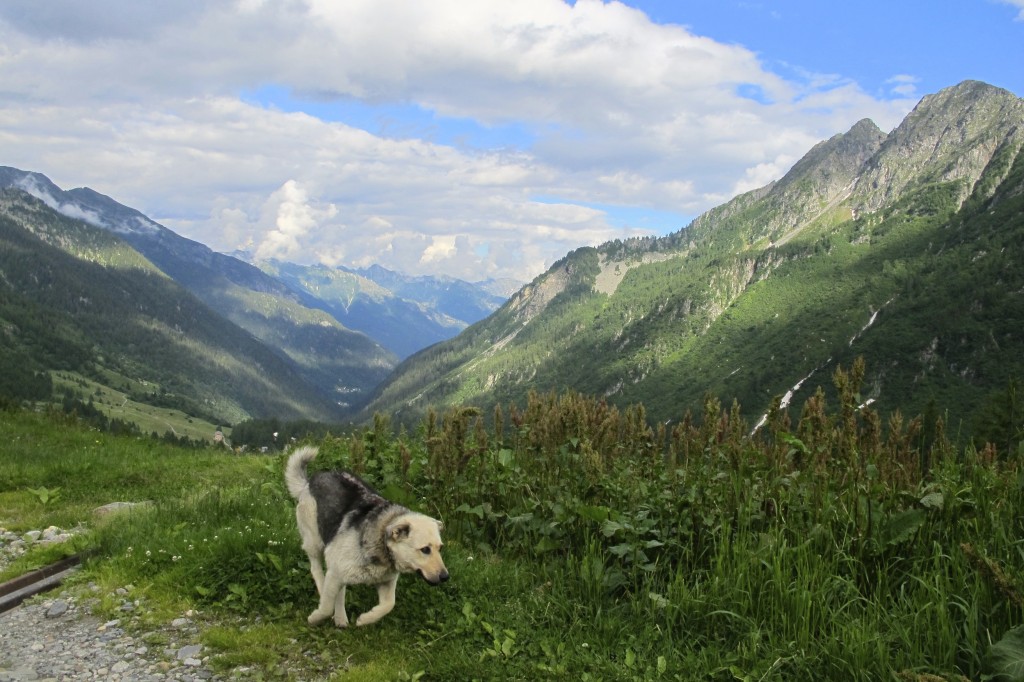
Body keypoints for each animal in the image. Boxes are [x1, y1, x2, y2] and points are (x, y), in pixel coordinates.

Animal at [286, 444, 450, 622]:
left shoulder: (386, 582)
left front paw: (366, 618)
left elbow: (388, 605)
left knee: (340, 591)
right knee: (316, 569)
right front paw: (315, 618)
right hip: (314, 543)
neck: (381, 542)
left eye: (440, 548)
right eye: (425, 549)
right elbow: (327, 607)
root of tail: (309, 482)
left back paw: (341, 619)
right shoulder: (335, 573)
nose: (445, 577)